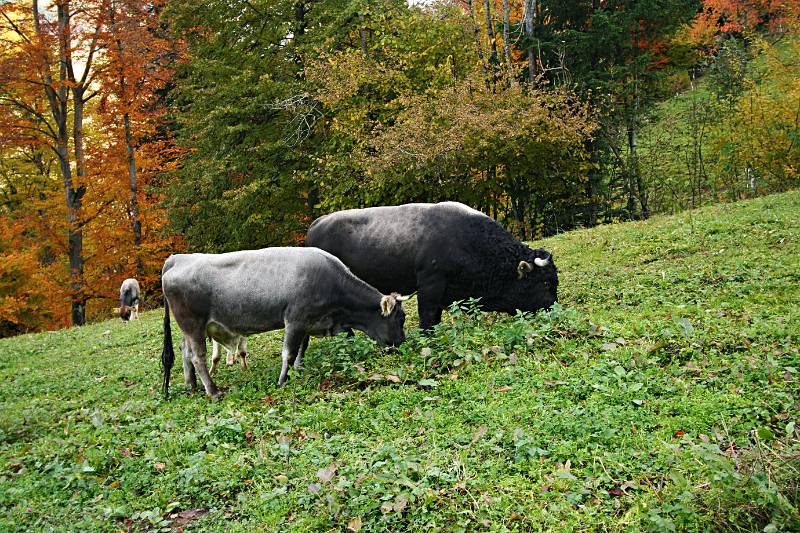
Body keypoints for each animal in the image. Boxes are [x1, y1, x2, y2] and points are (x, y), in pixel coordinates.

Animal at [159, 247, 406, 396]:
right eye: (401, 318)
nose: (401, 342)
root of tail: (178, 258)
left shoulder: (307, 321)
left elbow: (302, 347)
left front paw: (298, 367)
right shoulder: (295, 319)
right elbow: (288, 352)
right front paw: (282, 380)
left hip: (190, 329)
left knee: (184, 352)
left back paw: (191, 384)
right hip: (193, 325)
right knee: (197, 357)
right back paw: (213, 390)